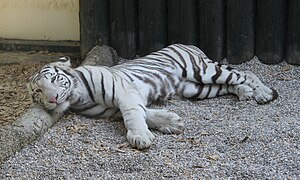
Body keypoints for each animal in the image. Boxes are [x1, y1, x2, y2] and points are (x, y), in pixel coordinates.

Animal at [27, 43, 278, 149]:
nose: (52, 100)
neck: (78, 97)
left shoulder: (124, 93)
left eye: (53, 79)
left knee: (244, 73)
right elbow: (145, 113)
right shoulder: (115, 107)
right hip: (196, 88)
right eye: (38, 91)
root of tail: (190, 45)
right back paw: (245, 92)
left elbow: (133, 115)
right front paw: (171, 123)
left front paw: (140, 137)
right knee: (230, 84)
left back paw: (264, 93)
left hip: (202, 71)